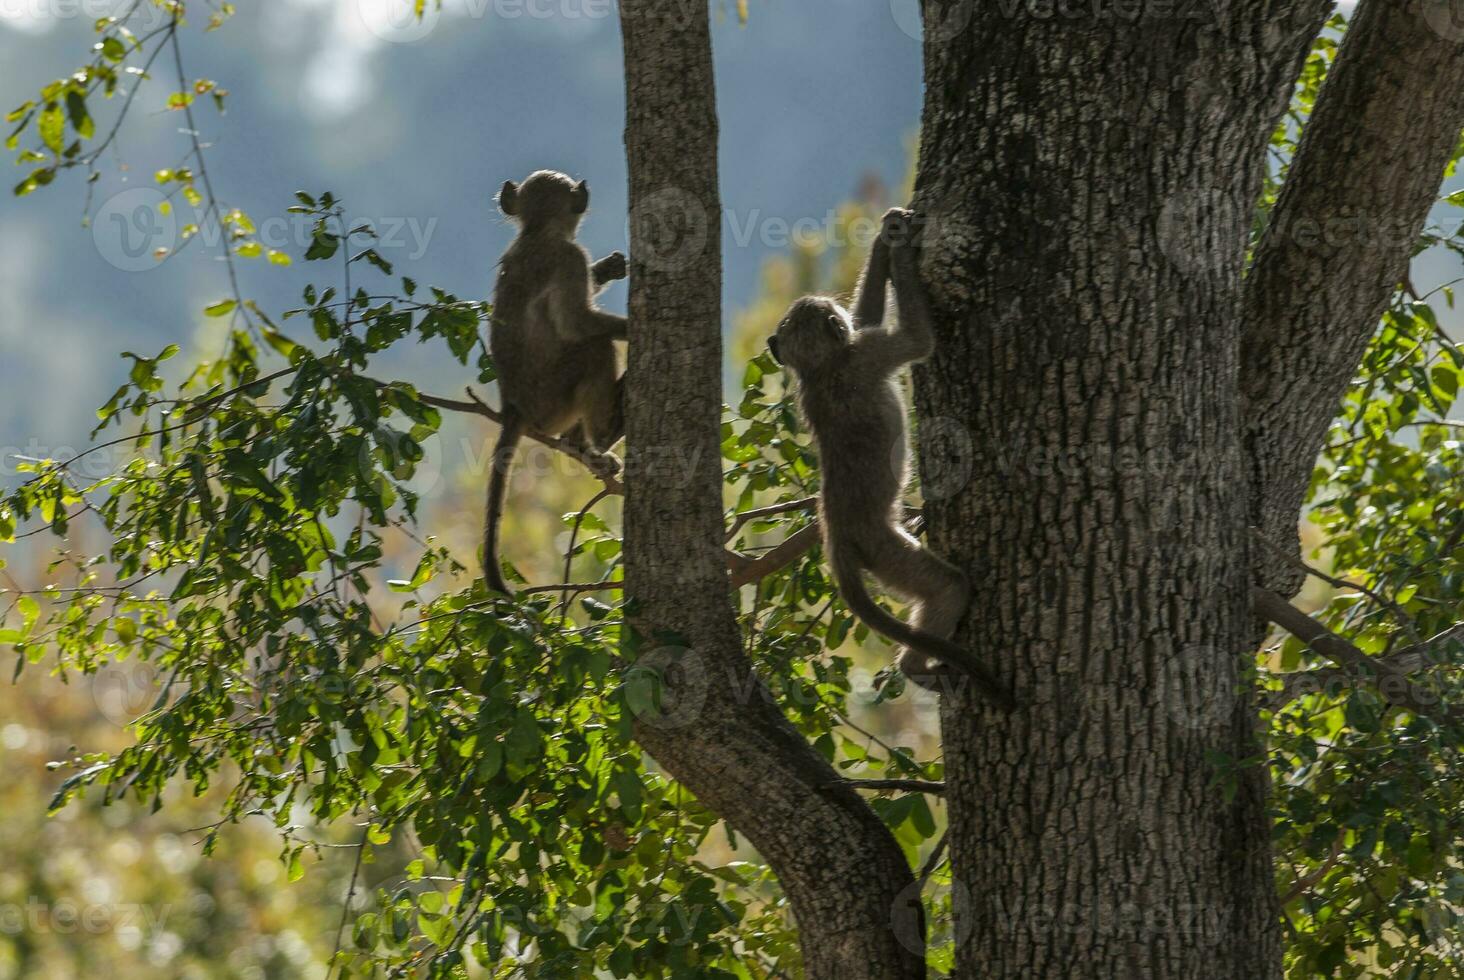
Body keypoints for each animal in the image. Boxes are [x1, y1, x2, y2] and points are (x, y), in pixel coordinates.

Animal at [483, 171, 626, 591]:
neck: (535, 232)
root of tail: (513, 407)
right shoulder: (569, 258)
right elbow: (577, 324)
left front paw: (608, 269)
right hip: (554, 405)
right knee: (596, 349)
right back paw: (602, 434)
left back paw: (582, 446)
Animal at [772, 210, 1013, 706]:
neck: (819, 370)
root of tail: (837, 537)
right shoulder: (868, 352)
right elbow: (917, 341)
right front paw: (900, 248)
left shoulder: (859, 347)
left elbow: (867, 316)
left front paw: (888, 236)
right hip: (883, 550)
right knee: (948, 587)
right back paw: (916, 667)